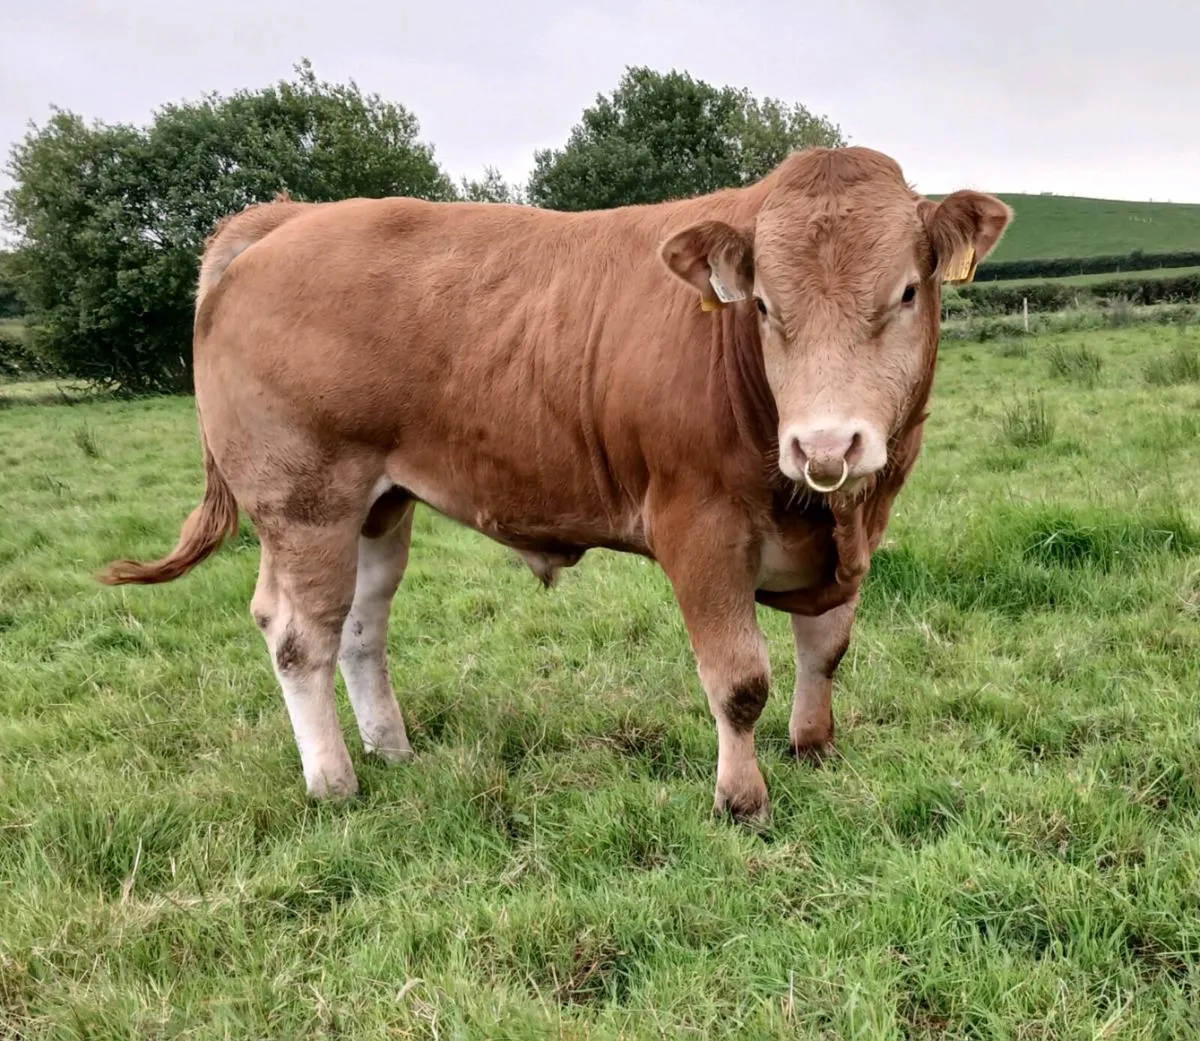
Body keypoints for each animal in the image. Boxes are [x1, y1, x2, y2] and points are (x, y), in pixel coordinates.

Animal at [101, 146, 1011, 822]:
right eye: (762, 306)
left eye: (907, 290)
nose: (825, 442)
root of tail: (287, 216)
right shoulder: (700, 528)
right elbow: (738, 679)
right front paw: (741, 797)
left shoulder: (856, 524)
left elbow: (825, 649)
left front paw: (814, 748)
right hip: (304, 500)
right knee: (298, 634)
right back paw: (334, 781)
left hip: (376, 506)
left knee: (360, 625)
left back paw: (393, 747)